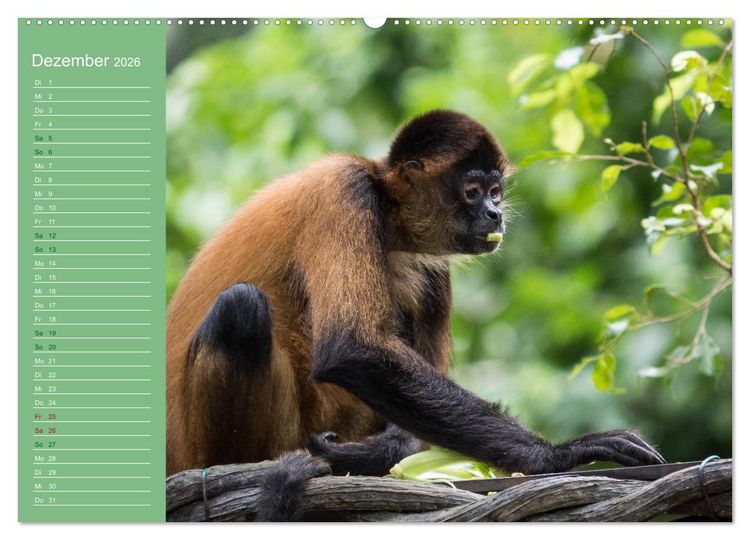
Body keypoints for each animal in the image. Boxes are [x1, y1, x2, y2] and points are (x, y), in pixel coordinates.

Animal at [166, 110, 665, 518]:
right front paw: (558, 454)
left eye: (496, 192)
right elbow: (350, 348)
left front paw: (381, 452)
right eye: (473, 192)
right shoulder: (344, 193)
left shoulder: (431, 263)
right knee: (240, 309)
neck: (387, 216)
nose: (495, 215)